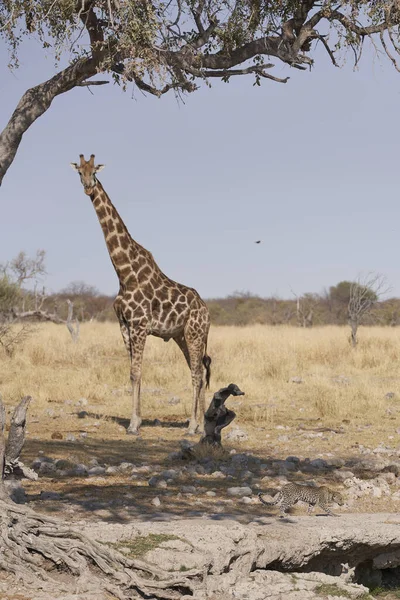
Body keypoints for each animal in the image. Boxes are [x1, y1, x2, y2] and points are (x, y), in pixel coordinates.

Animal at [70, 155, 211, 436]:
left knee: (197, 374)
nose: (88, 187)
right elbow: (134, 372)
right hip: (181, 335)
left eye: (95, 171)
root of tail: (207, 311)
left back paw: (192, 426)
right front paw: (135, 420)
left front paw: (134, 426)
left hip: (194, 333)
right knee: (199, 371)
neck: (124, 273)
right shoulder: (124, 325)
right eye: (79, 171)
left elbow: (136, 372)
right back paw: (200, 426)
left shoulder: (139, 325)